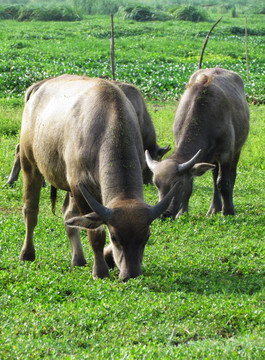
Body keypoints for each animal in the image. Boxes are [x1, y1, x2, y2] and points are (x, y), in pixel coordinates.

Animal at [145, 67, 249, 219]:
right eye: (157, 184)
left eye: (178, 184)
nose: (164, 214)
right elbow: (195, 184)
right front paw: (182, 212)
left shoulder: (226, 153)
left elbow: (223, 182)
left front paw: (228, 212)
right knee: (214, 177)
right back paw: (214, 208)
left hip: (237, 150)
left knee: (230, 175)